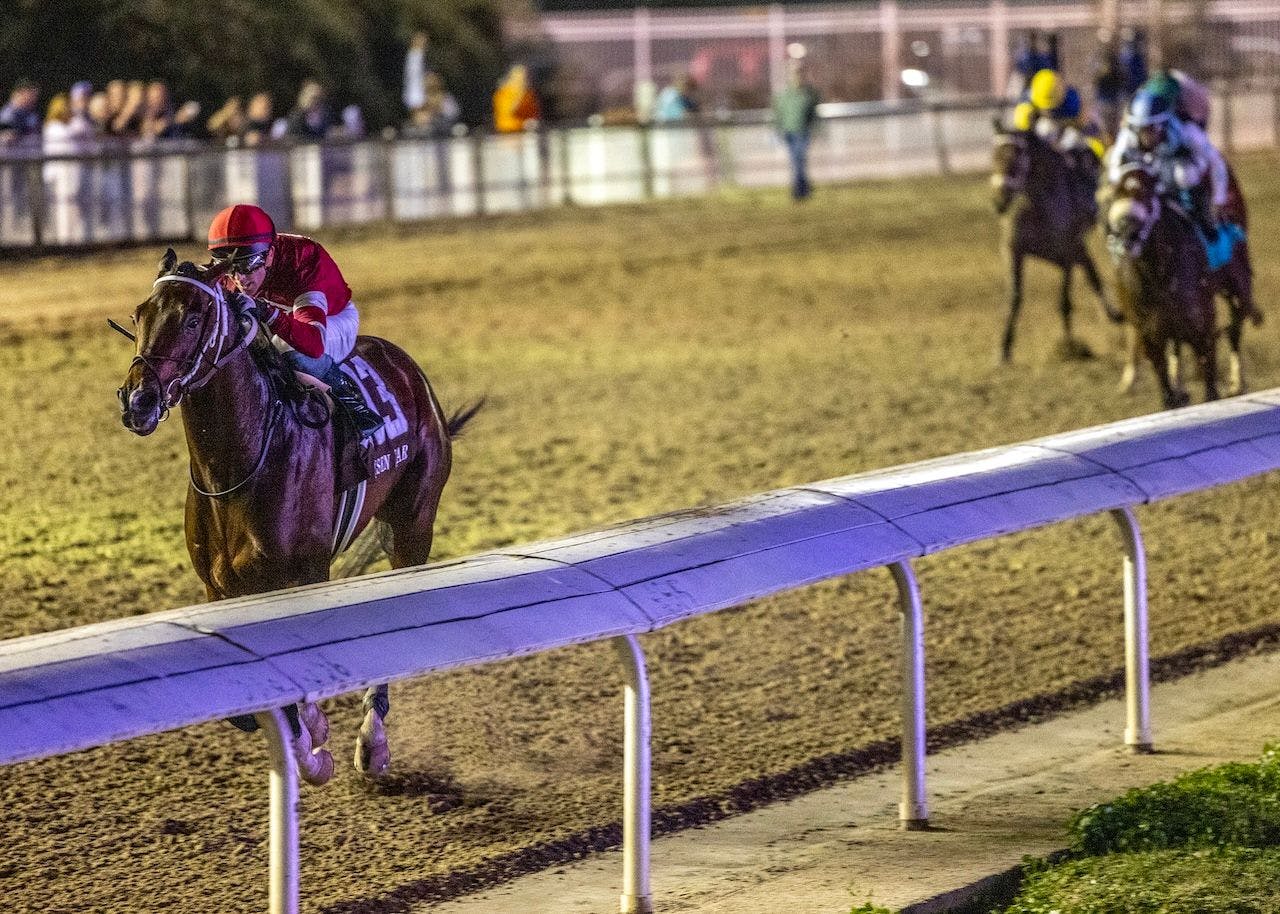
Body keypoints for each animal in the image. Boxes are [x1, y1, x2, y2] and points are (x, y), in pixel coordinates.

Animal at [119, 252, 481, 788]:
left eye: (192, 318)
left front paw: (315, 744)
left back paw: (372, 742)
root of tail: (405, 366)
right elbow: (248, 711)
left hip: (412, 524)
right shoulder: (218, 587)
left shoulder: (306, 574)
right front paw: (304, 734)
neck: (239, 463)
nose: (138, 400)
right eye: (140, 313)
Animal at [988, 122, 1121, 363]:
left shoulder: (1067, 254)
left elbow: (1064, 301)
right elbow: (1014, 298)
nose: (998, 201)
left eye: (1017, 156)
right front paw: (1003, 348)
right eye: (994, 155)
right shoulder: (1013, 251)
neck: (1037, 203)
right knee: (1092, 273)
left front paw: (1069, 347)